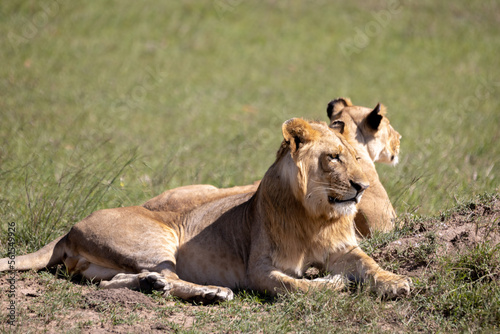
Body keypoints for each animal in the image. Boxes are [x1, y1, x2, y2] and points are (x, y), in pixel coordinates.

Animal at [0, 118, 410, 302]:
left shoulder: (345, 248)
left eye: (358, 157)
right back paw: (212, 291)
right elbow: (294, 285)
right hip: (159, 238)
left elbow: (369, 264)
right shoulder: (259, 269)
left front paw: (396, 282)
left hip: (107, 265)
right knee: (172, 275)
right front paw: (330, 283)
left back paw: (151, 284)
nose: (362, 187)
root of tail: (69, 229)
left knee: (112, 282)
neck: (314, 215)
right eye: (333, 158)